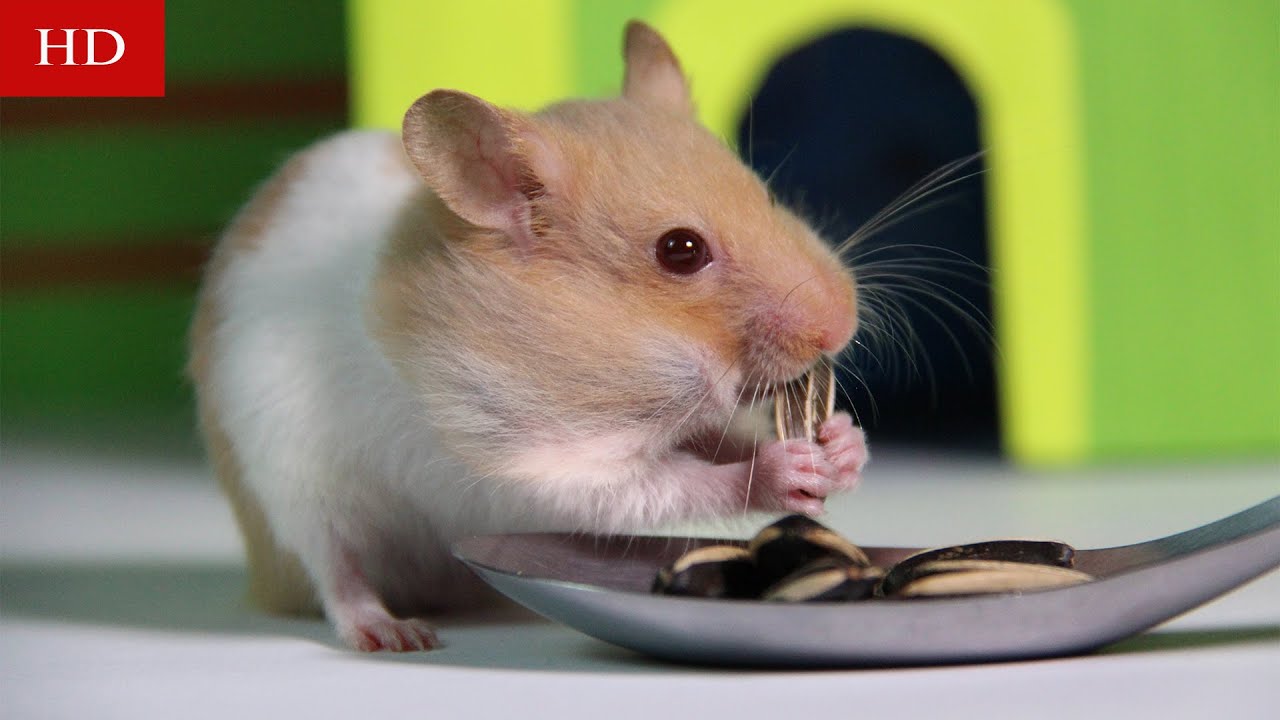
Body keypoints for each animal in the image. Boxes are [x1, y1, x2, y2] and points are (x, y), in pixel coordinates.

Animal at [188, 22, 866, 652]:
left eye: (765, 194)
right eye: (680, 250)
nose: (842, 322)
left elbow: (720, 442)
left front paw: (843, 445)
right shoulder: (534, 462)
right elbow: (674, 483)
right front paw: (792, 466)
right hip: (294, 488)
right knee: (335, 573)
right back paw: (398, 634)